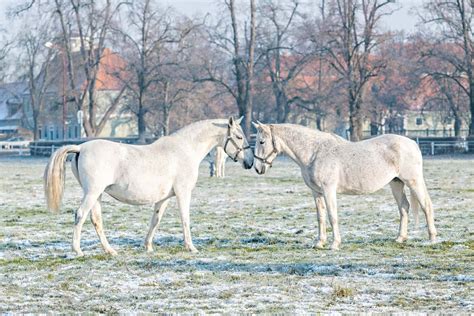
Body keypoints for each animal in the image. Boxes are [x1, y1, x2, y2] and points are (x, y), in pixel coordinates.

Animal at [45, 117, 254, 256]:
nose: (250, 162)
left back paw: (110, 250)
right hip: (92, 193)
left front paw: (148, 246)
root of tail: (80, 148)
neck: (185, 150)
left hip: (97, 195)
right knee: (80, 215)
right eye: (238, 136)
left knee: (96, 220)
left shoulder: (164, 198)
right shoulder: (183, 193)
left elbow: (156, 220)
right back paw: (77, 250)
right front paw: (191, 247)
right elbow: (185, 219)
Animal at [252, 122, 436, 251]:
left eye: (261, 141)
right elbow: (320, 217)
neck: (315, 152)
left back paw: (432, 239)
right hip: (396, 183)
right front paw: (319, 243)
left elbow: (332, 216)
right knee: (404, 207)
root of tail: (412, 143)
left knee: (426, 206)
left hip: (413, 181)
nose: (257, 168)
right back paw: (400, 238)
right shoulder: (316, 192)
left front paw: (335, 244)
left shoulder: (328, 190)